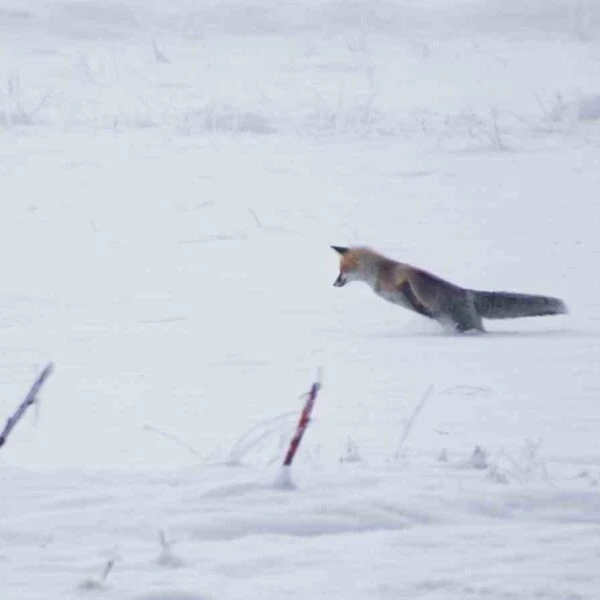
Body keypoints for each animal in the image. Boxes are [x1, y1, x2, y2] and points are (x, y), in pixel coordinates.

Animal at [332, 246, 568, 336]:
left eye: (342, 271)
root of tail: (468, 293)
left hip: (466, 321)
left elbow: (413, 289)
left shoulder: (406, 279)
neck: (380, 274)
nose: (334, 284)